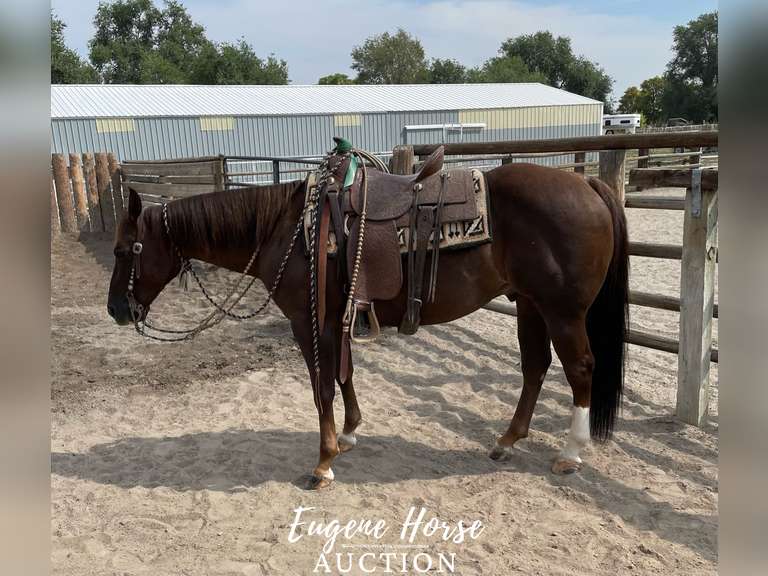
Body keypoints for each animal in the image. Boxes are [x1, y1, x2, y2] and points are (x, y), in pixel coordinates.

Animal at [107, 162, 629, 489]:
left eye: (124, 250)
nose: (116, 309)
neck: (288, 229)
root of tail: (588, 186)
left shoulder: (308, 321)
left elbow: (321, 386)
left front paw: (323, 463)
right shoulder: (337, 318)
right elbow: (345, 374)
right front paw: (350, 433)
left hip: (562, 312)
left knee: (580, 368)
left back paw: (571, 453)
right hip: (530, 305)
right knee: (535, 367)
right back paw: (506, 441)